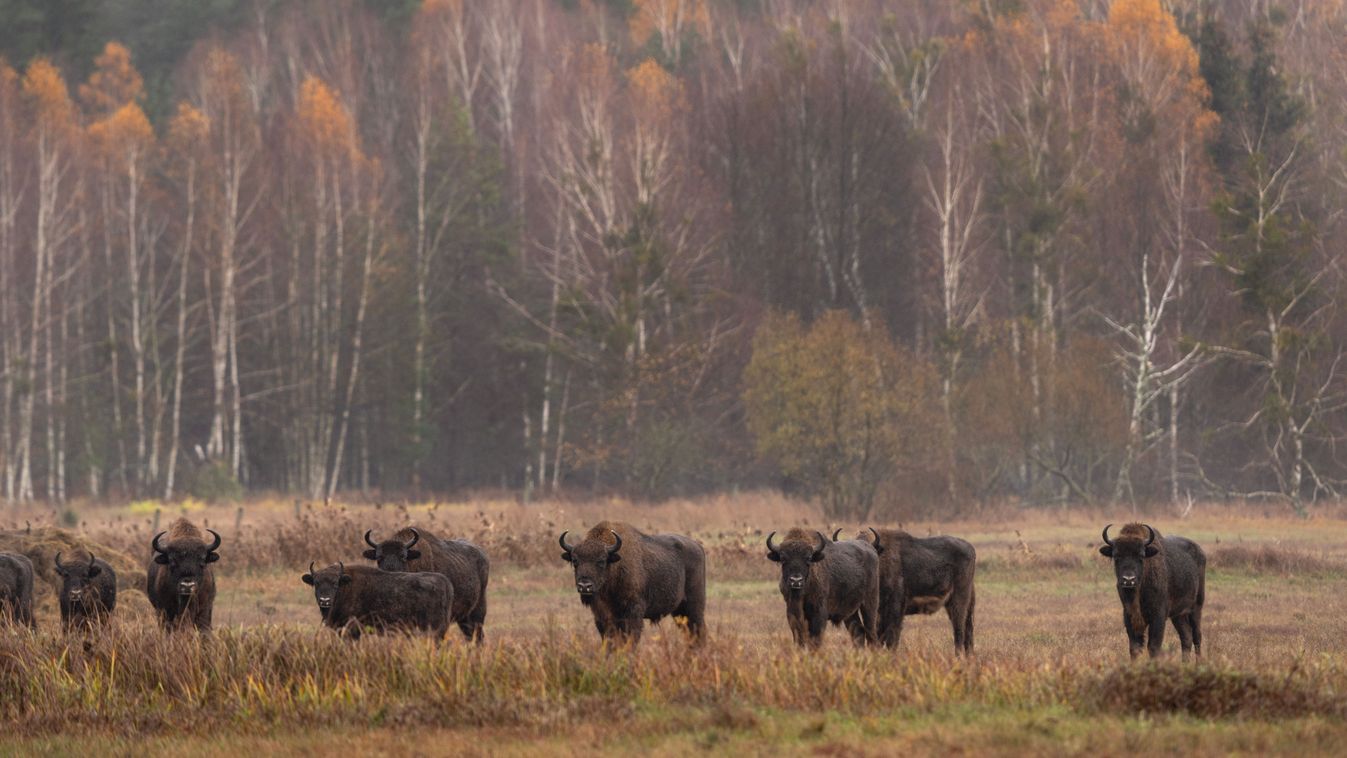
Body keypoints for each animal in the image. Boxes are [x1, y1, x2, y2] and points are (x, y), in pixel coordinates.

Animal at [300, 562, 452, 640]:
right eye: (316, 583)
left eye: (335, 584)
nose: (324, 600)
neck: (346, 585)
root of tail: (445, 582)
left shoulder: (352, 631)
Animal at [557, 522, 711, 646]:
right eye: (575, 561)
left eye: (601, 561)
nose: (584, 586)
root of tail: (698, 546)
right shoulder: (602, 617)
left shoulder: (633, 614)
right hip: (679, 612)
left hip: (694, 607)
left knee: (699, 631)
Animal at [835, 527, 975, 651]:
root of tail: (970, 548)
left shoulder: (895, 610)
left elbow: (891, 637)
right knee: (968, 630)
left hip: (958, 602)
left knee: (959, 630)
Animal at [1099, 525, 1206, 662]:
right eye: (1116, 556)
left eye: (1141, 556)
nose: (1128, 579)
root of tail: (1200, 552)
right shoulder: (1129, 617)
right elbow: (1134, 648)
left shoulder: (1158, 617)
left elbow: (1153, 647)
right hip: (1178, 615)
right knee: (1186, 636)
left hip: (1196, 607)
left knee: (1197, 636)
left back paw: (1199, 663)